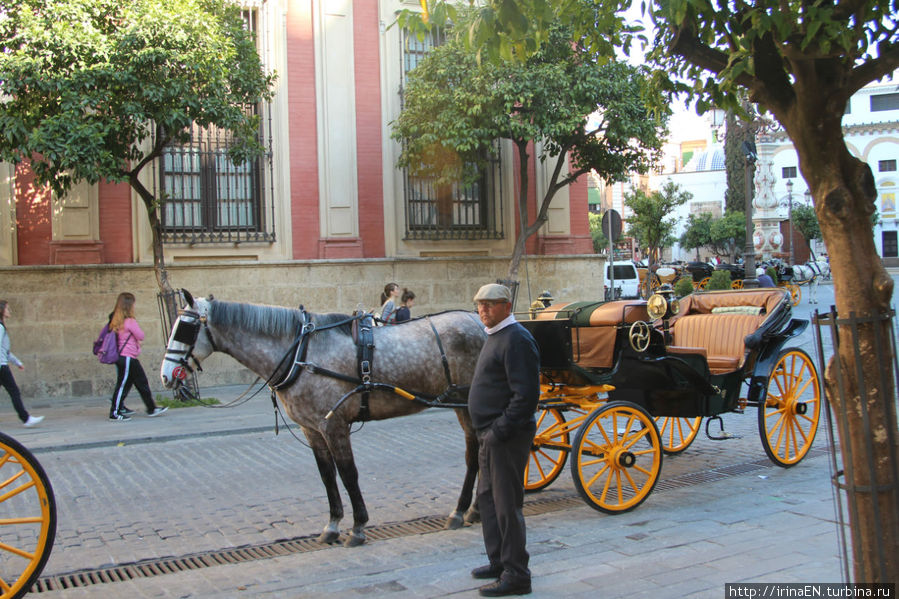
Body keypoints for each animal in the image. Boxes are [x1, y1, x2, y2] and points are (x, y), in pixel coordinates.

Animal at [158, 290, 488, 548]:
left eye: (185, 329)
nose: (165, 375)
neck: (301, 352)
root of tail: (482, 323)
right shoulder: (312, 429)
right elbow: (327, 475)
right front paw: (332, 525)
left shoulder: (334, 425)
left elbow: (348, 474)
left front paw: (358, 527)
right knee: (479, 451)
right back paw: (473, 510)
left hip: (468, 404)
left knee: (475, 454)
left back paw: (462, 510)